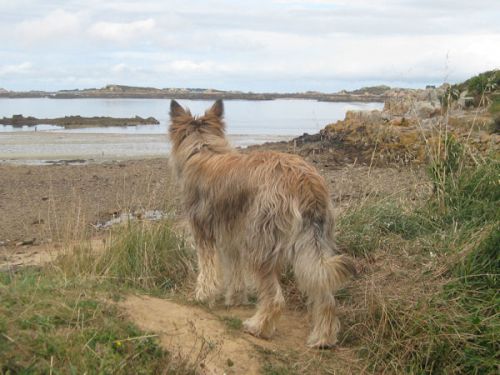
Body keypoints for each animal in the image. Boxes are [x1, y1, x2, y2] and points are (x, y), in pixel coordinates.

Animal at [169, 100, 356, 350]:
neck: (203, 149)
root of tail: (304, 182)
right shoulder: (231, 237)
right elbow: (234, 270)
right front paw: (235, 298)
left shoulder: (204, 232)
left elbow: (207, 268)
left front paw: (202, 295)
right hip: (313, 241)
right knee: (324, 293)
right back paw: (322, 338)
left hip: (260, 245)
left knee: (275, 298)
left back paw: (258, 327)